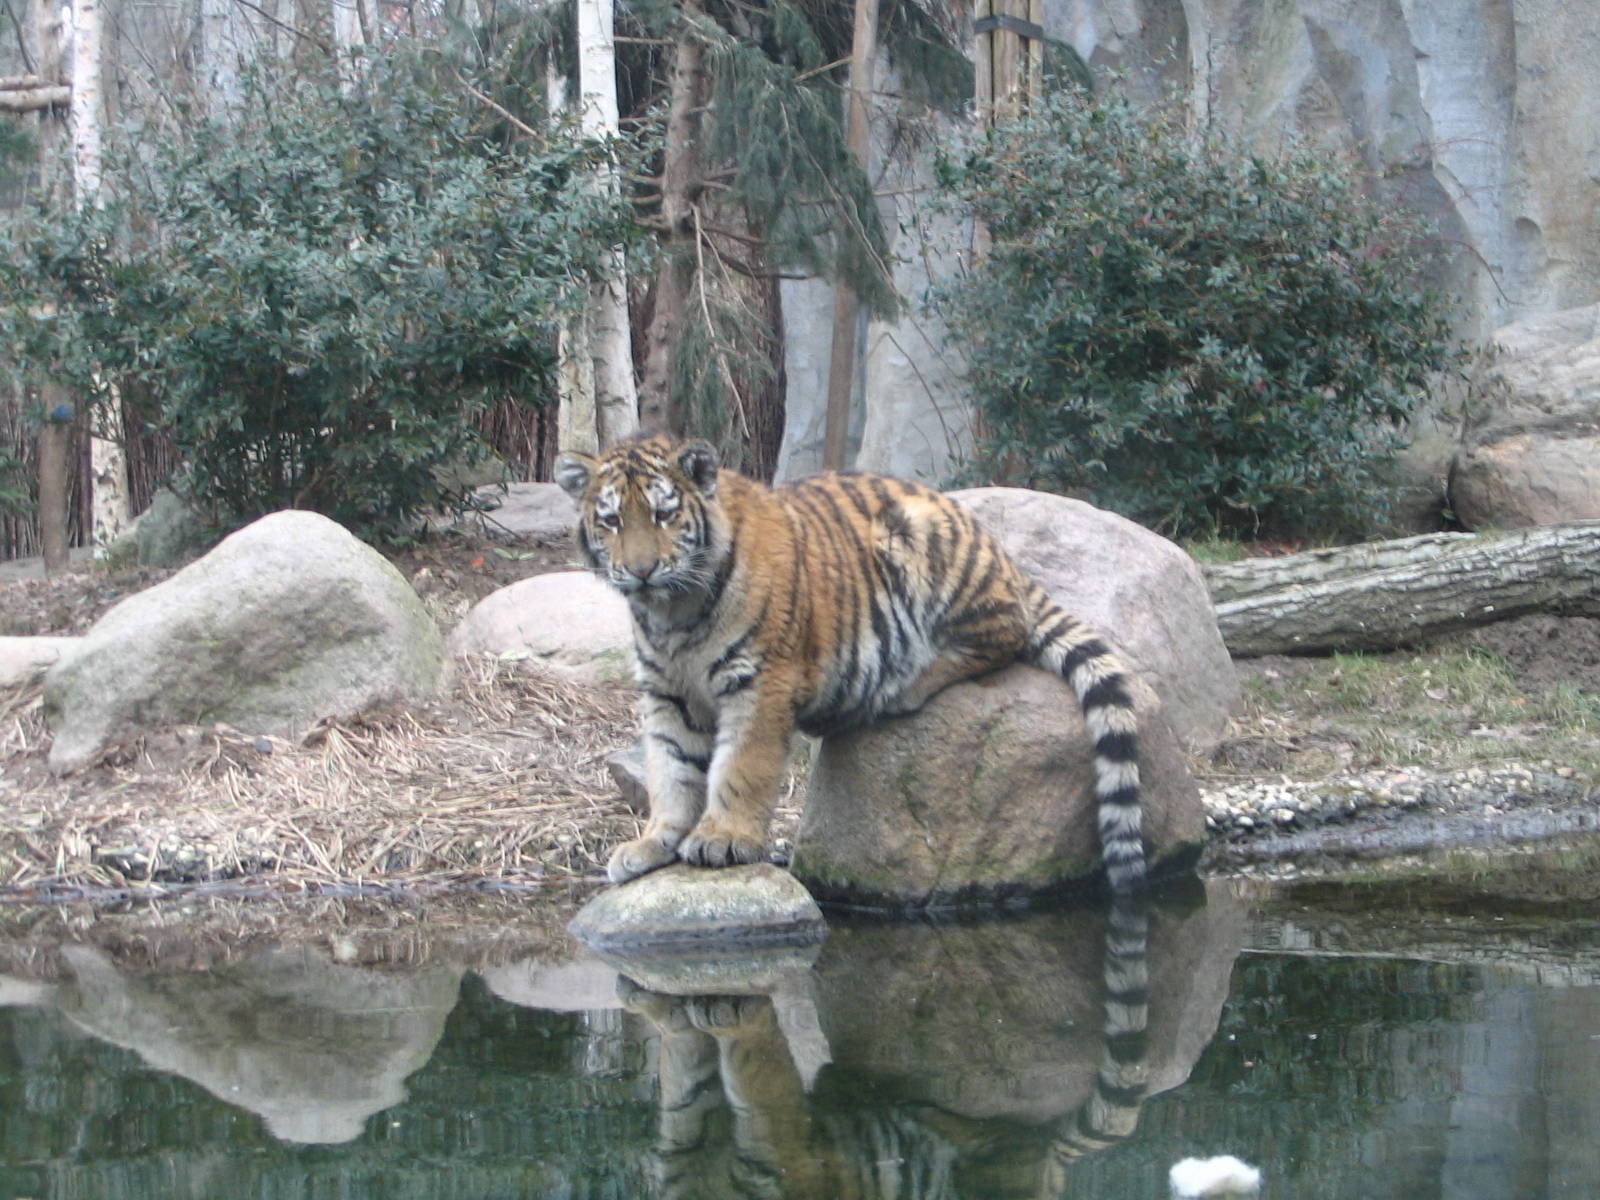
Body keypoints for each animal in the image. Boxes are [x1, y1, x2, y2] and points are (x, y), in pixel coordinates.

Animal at [554, 434, 1147, 894]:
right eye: (610, 521)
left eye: (664, 514)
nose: (641, 570)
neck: (672, 613)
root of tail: (999, 551)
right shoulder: (668, 693)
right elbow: (671, 770)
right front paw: (654, 842)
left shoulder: (761, 681)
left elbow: (741, 766)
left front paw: (722, 838)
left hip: (923, 543)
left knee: (1006, 632)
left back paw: (905, 685)